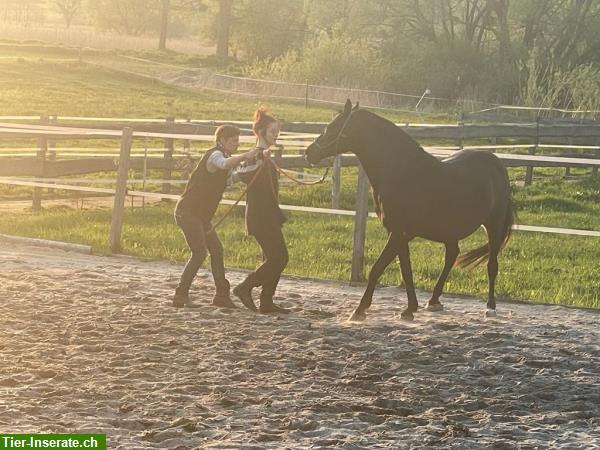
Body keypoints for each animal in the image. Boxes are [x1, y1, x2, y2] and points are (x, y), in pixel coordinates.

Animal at [308, 100, 512, 322]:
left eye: (332, 127)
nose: (309, 152)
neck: (400, 171)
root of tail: (496, 163)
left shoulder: (398, 232)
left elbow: (377, 268)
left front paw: (360, 309)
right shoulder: (397, 233)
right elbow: (405, 269)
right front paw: (409, 309)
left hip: (493, 226)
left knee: (491, 265)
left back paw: (490, 307)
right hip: (450, 231)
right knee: (451, 256)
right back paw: (433, 301)